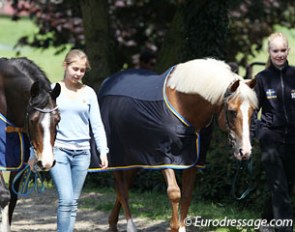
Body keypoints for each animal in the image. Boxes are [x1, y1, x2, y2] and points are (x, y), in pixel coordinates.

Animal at [0, 57, 60, 231]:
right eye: (33, 120)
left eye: (57, 119)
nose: (46, 162)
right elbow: (3, 195)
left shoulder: (18, 162)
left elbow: (13, 198)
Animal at [97, 57, 260, 231]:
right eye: (232, 111)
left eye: (253, 111)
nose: (245, 152)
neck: (183, 105)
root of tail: (108, 82)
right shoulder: (164, 157)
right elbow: (175, 193)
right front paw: (174, 226)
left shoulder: (194, 160)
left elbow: (187, 195)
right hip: (116, 156)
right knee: (122, 189)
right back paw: (130, 226)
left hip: (134, 158)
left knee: (124, 187)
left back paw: (113, 223)